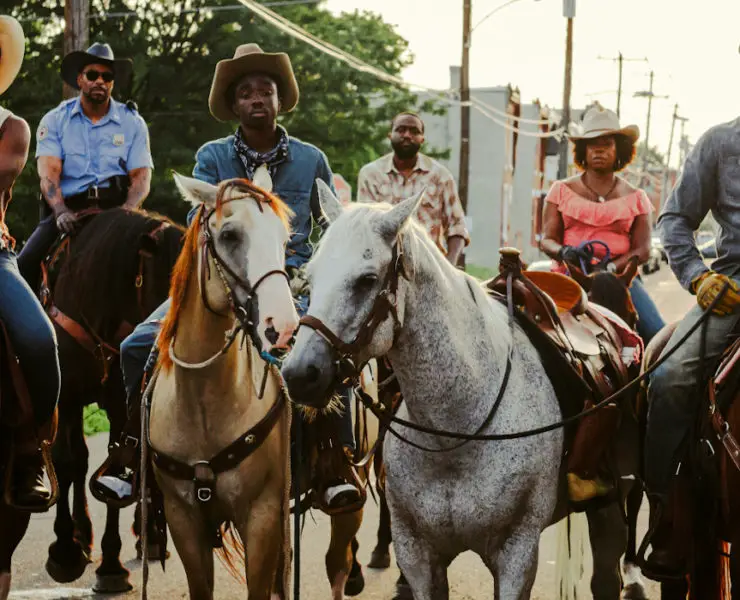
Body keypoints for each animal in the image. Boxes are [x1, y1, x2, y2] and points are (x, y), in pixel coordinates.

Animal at [41, 209, 184, 592]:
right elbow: (68, 461)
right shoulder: (68, 395)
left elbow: (121, 463)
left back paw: (149, 536)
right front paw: (65, 551)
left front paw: (110, 566)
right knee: (77, 461)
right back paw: (80, 535)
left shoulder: (122, 401)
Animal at [286, 184, 564, 600]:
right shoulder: (418, 554)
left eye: (367, 279)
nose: (298, 373)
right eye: (311, 277)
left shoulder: (518, 554)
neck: (457, 433)